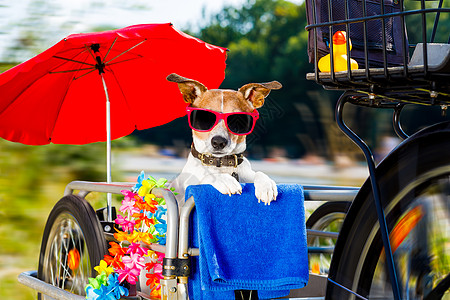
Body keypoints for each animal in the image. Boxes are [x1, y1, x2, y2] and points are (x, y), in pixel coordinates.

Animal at [167, 74, 284, 207]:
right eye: (205, 118)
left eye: (238, 120)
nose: (218, 142)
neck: (221, 164)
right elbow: (206, 176)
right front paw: (223, 179)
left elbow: (259, 173)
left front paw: (266, 185)